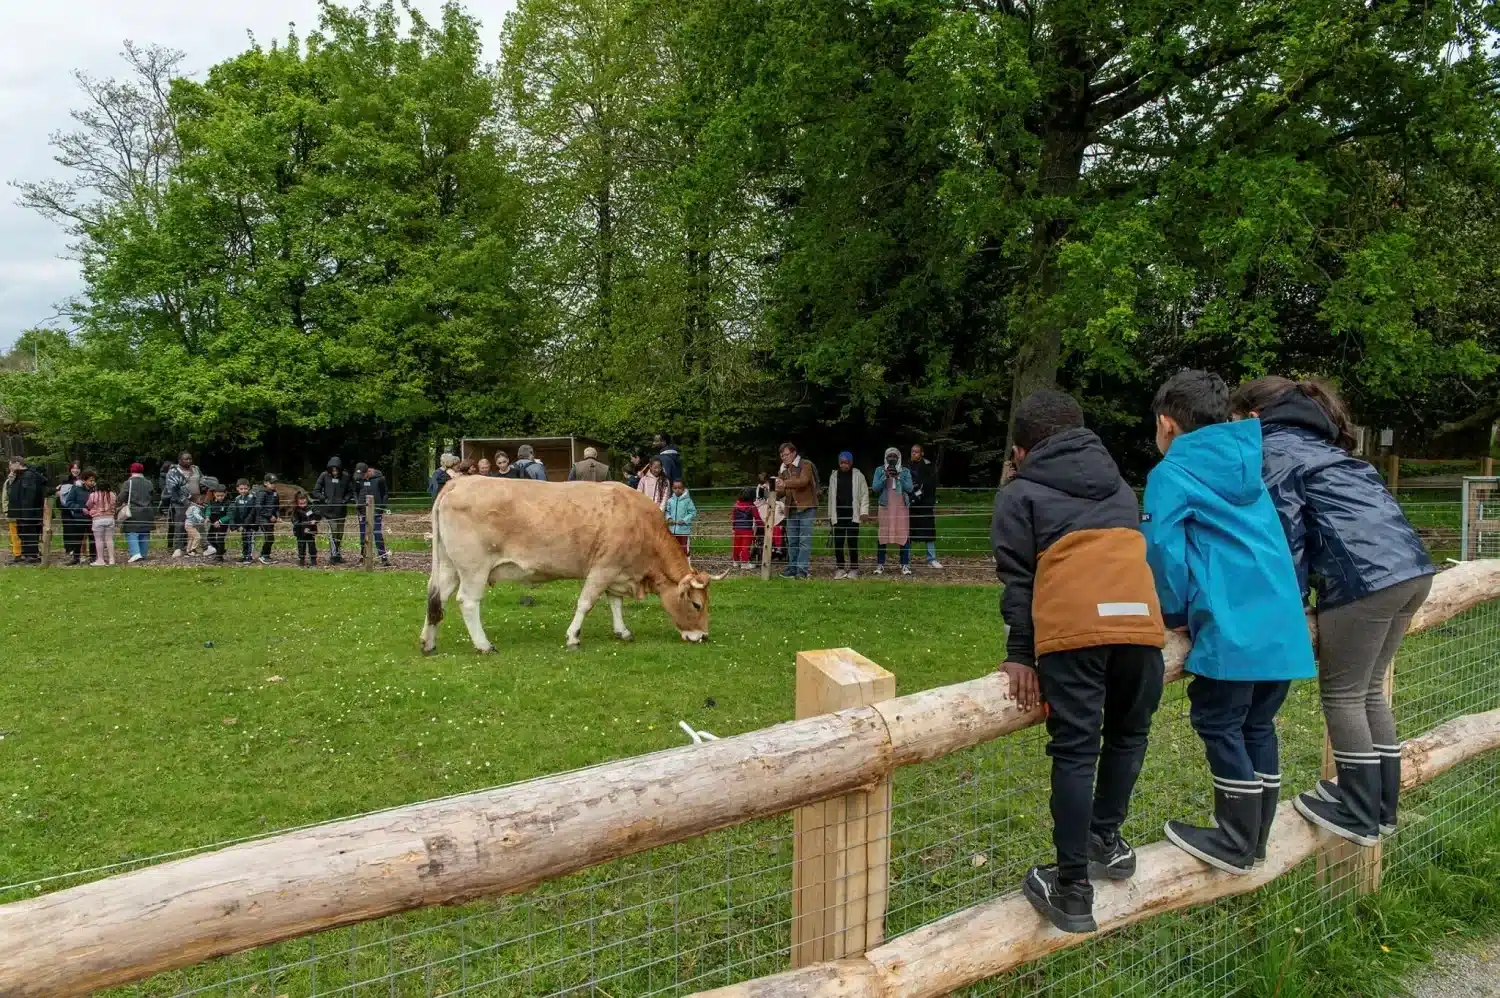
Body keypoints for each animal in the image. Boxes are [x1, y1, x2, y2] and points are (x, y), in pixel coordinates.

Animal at [421, 476, 728, 654]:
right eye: (697, 604)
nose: (703, 636)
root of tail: (459, 481)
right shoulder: (603, 568)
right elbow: (586, 603)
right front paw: (573, 638)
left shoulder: (617, 571)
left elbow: (615, 603)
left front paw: (622, 631)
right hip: (474, 568)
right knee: (467, 602)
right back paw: (484, 645)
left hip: (449, 566)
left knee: (437, 598)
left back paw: (428, 643)